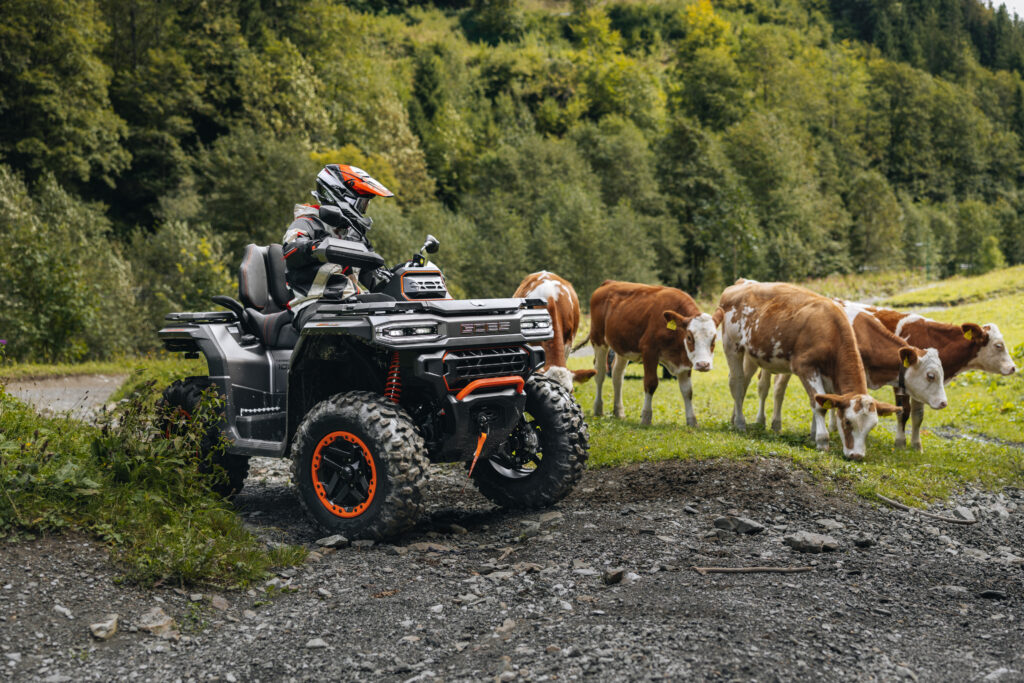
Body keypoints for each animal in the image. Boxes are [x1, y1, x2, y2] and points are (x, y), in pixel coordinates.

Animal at [584, 280, 721, 426]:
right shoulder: (649, 352)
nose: (703, 364)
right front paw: (646, 417)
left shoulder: (685, 361)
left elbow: (687, 390)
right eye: (689, 337)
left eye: (714, 338)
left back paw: (619, 411)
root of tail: (610, 282)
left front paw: (692, 421)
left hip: (622, 347)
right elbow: (650, 383)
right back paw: (598, 409)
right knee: (600, 373)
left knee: (617, 376)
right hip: (598, 340)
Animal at [717, 280, 900, 460]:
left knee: (744, 383)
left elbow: (822, 400)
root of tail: (739, 284)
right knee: (737, 384)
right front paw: (822, 440)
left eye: (872, 426)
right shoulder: (805, 367)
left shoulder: (828, 375)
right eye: (848, 421)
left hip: (751, 354)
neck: (830, 331)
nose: (857, 456)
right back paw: (740, 423)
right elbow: (819, 406)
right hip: (731, 345)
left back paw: (734, 419)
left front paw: (813, 435)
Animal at [866, 307, 1018, 449]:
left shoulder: (920, 388)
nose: (1013, 367)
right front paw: (900, 443)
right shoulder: (900, 383)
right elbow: (903, 412)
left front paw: (916, 446)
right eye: (998, 345)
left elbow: (918, 416)